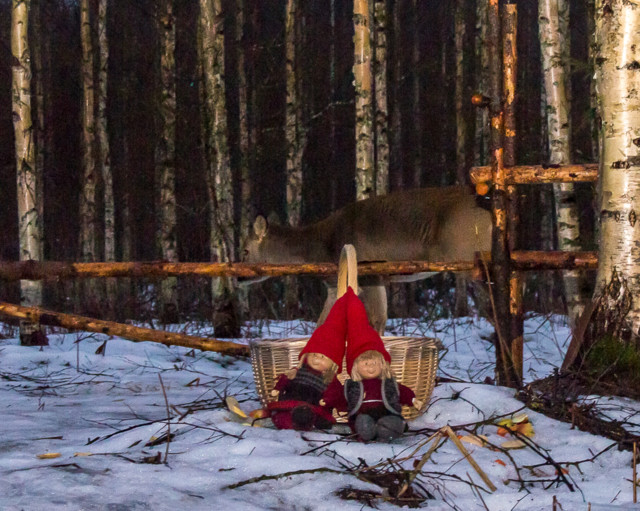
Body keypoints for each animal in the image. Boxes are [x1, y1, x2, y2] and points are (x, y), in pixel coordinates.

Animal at [242, 186, 492, 334]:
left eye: (244, 250)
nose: (239, 279)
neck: (322, 247)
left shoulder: (369, 273)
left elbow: (376, 323)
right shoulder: (337, 286)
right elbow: (321, 324)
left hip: (470, 257)